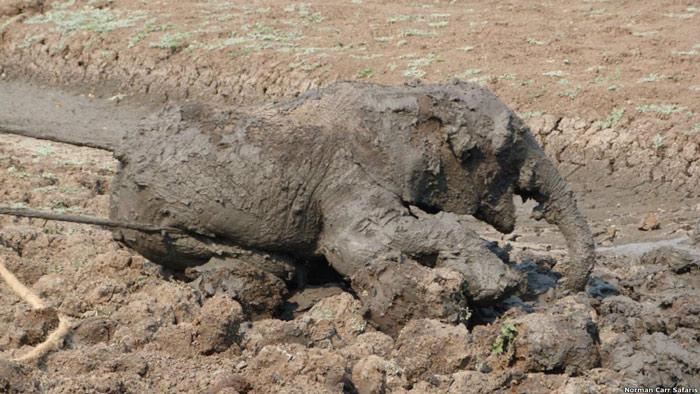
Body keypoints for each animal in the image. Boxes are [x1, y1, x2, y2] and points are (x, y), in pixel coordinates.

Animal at [0, 79, 592, 332]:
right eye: (507, 148)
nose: (561, 289)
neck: (409, 99)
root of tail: (124, 152)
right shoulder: (350, 179)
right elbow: (358, 243)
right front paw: (498, 286)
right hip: (153, 216)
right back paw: (266, 273)